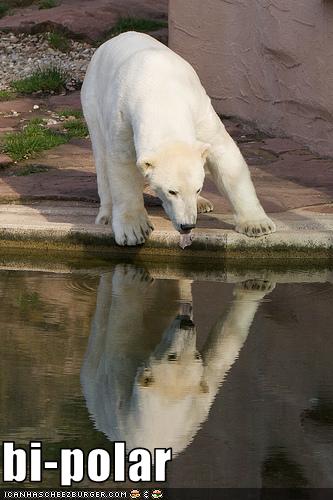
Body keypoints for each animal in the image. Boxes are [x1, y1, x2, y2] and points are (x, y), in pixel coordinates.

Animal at [81, 31, 274, 246]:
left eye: (198, 188)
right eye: (171, 191)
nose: (187, 225)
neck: (161, 96)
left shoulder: (199, 108)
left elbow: (223, 153)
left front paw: (258, 225)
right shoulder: (123, 116)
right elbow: (122, 163)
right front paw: (134, 230)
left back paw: (203, 204)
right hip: (92, 101)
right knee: (101, 157)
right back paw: (106, 216)